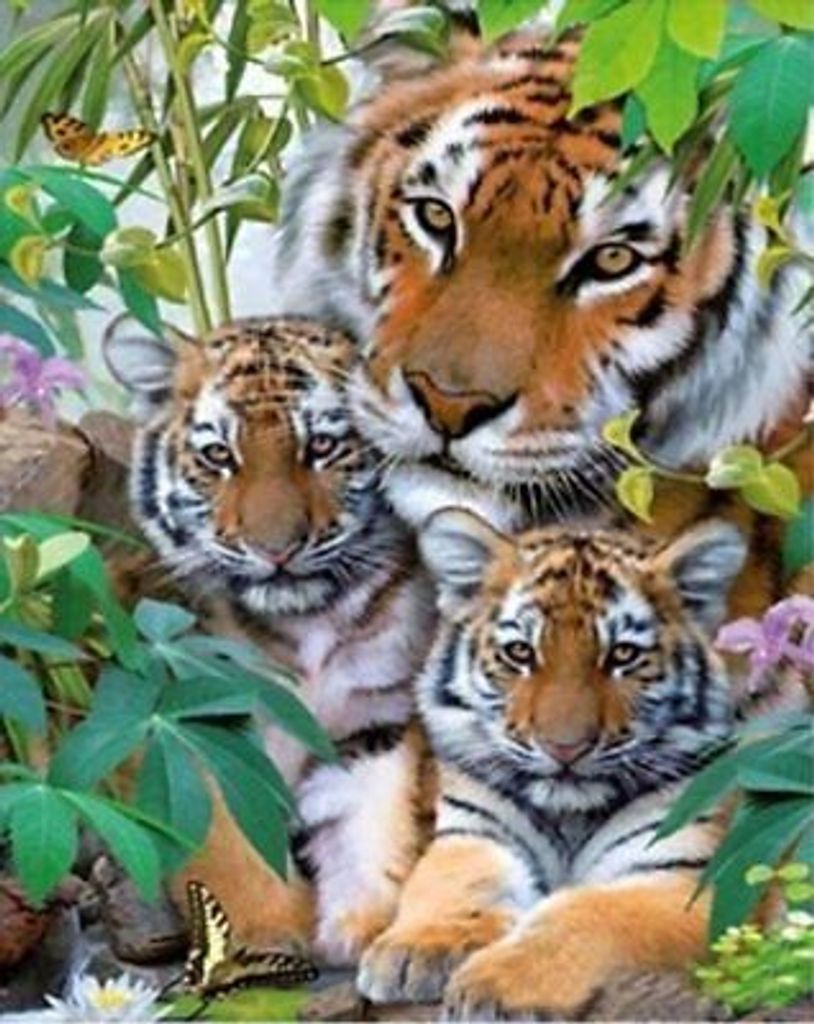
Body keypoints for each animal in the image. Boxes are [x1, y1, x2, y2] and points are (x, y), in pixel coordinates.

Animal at [103, 315, 437, 964]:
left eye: (323, 447)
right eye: (218, 455)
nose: (276, 548)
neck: (306, 622)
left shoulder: (372, 722)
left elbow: (367, 823)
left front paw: (362, 925)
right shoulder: (194, 728)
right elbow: (229, 843)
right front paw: (269, 935)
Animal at [357, 506, 755, 1018]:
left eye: (622, 655)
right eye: (520, 653)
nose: (565, 747)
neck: (569, 814)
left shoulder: (693, 879)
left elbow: (586, 913)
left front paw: (496, 984)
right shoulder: (475, 832)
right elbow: (453, 881)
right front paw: (415, 949)